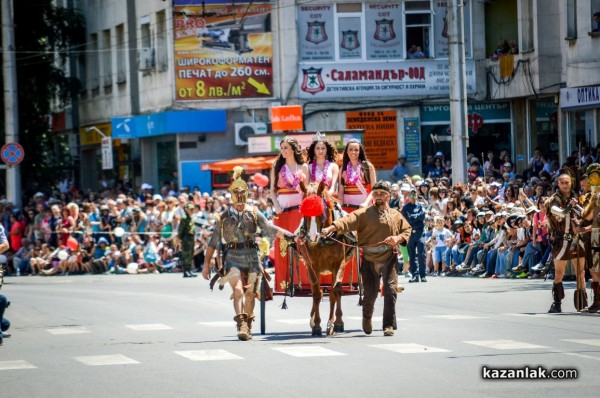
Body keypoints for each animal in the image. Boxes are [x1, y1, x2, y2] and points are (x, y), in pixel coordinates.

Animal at [296, 181, 356, 336]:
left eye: (320, 209)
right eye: (303, 209)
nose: (311, 237)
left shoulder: (339, 264)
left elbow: (335, 292)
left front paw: (332, 324)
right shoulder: (312, 266)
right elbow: (317, 293)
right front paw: (316, 324)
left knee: (336, 291)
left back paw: (338, 321)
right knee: (316, 290)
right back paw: (312, 318)